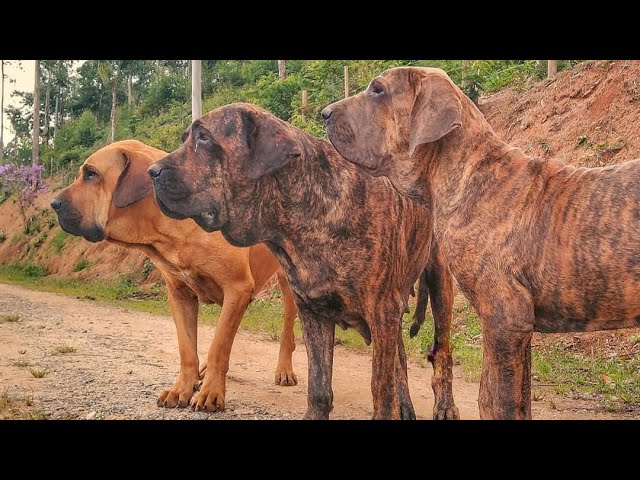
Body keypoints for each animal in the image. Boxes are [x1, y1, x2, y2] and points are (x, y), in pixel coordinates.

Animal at [51, 140, 298, 412]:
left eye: (91, 174)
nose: (53, 203)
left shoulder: (237, 287)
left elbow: (219, 347)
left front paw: (211, 393)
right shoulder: (181, 294)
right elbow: (188, 348)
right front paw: (182, 389)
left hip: (290, 286)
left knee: (287, 332)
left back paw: (284, 370)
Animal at [149, 103, 460, 418]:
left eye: (204, 138)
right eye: (186, 138)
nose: (153, 171)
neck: (308, 212)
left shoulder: (381, 310)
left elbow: (381, 390)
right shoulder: (314, 312)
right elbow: (319, 387)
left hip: (438, 288)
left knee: (441, 355)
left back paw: (444, 405)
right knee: (400, 358)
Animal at [322, 65, 640, 418]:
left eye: (378, 90)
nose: (324, 113)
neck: (466, 176)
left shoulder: (505, 318)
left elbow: (495, 399)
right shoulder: (519, 328)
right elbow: (520, 400)